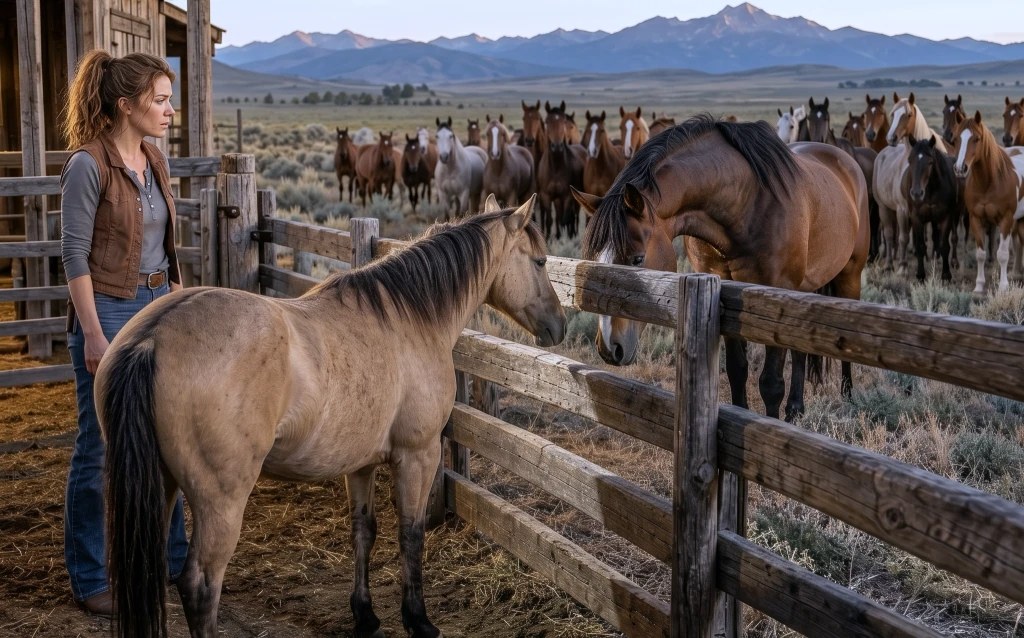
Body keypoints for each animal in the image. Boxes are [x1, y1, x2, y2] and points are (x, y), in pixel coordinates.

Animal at [97, 196, 566, 638]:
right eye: (540, 261)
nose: (560, 326)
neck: (409, 319)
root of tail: (152, 339)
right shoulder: (418, 455)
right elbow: (410, 534)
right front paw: (418, 619)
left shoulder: (359, 464)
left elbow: (364, 531)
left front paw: (365, 615)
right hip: (220, 500)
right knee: (199, 585)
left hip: (161, 485)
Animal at [537, 100, 587, 240]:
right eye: (547, 121)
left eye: (563, 121)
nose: (557, 146)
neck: (556, 168)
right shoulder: (547, 196)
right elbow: (551, 219)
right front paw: (549, 239)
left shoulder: (567, 196)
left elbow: (566, 218)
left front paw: (568, 237)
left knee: (573, 215)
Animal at [574, 114, 868, 421]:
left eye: (637, 260)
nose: (609, 347)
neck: (746, 205)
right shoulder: (723, 293)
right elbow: (738, 371)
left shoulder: (777, 294)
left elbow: (771, 383)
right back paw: (795, 409)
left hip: (849, 275)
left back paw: (847, 396)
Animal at [902, 135, 963, 282]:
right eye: (910, 160)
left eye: (930, 162)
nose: (917, 193)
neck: (930, 190)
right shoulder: (916, 217)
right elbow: (920, 245)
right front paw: (920, 275)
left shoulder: (947, 217)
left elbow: (945, 245)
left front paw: (946, 274)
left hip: (955, 214)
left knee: (953, 238)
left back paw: (953, 261)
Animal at [952, 110, 1024, 292]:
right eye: (955, 139)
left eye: (976, 138)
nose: (960, 168)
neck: (989, 182)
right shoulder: (976, 218)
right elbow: (980, 254)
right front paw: (979, 286)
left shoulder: (1006, 220)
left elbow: (1002, 255)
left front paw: (1003, 287)